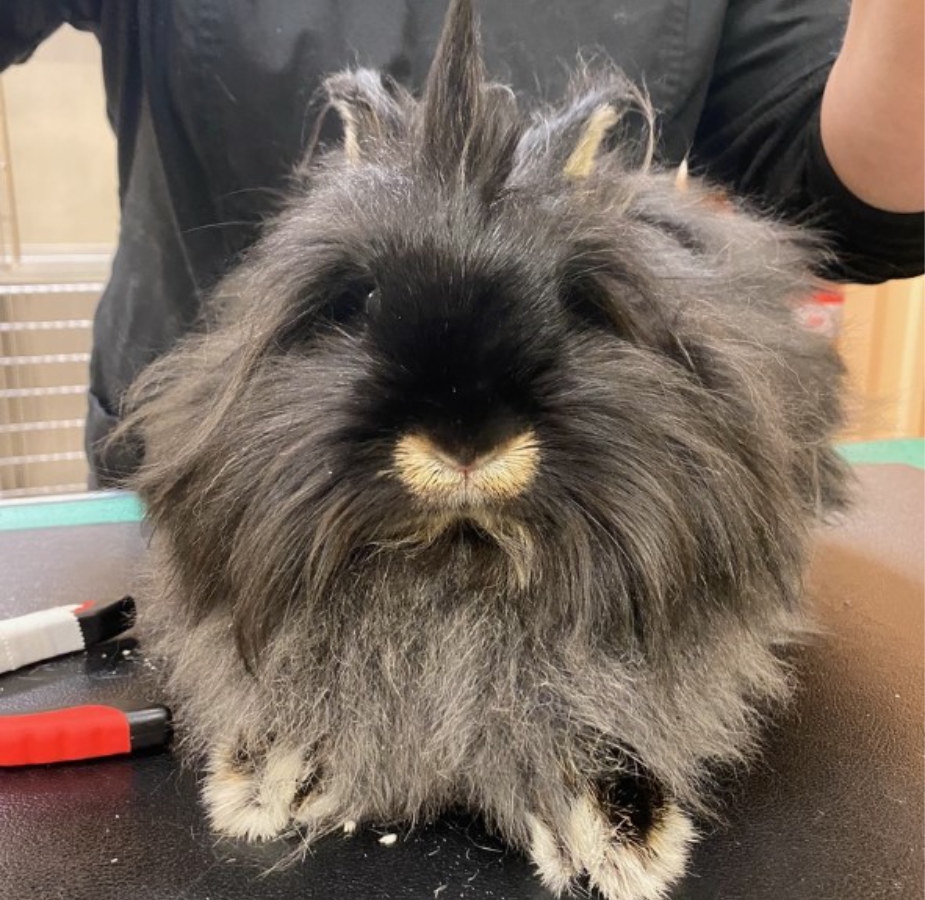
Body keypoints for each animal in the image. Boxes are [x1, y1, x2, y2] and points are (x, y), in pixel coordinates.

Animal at [113, 1, 849, 897]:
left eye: (576, 305)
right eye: (360, 301)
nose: (466, 440)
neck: (459, 563)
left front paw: (623, 836)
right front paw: (266, 776)